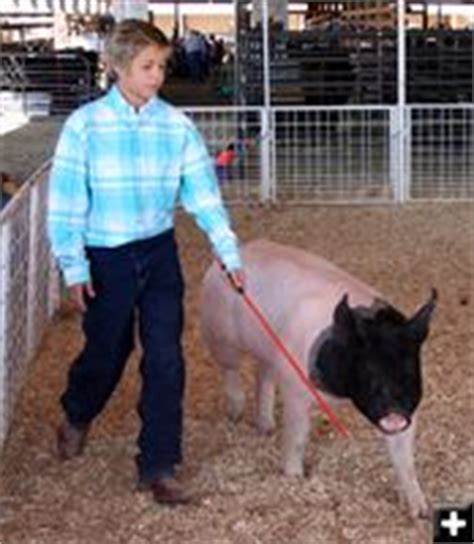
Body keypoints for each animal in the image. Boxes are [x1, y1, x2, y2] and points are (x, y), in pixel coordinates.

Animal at [200, 238, 436, 520]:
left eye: (409, 371)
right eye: (368, 370)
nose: (395, 416)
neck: (342, 393)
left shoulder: (411, 406)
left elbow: (404, 458)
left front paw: (421, 510)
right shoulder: (295, 388)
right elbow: (297, 437)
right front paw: (294, 479)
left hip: (269, 352)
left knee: (263, 375)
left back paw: (267, 428)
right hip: (218, 334)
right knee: (231, 370)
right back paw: (235, 413)